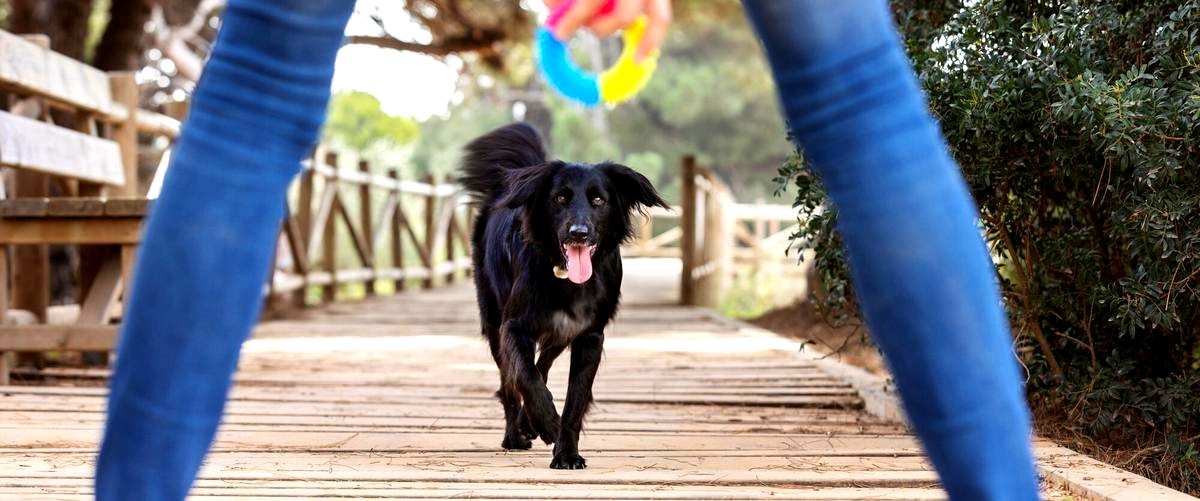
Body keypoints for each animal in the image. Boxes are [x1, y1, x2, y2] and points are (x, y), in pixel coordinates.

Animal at [458, 122, 672, 469]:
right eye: (559, 198)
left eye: (598, 200)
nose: (579, 234)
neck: (564, 277)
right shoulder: (513, 327)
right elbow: (527, 379)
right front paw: (547, 424)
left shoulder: (589, 335)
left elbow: (575, 398)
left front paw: (566, 452)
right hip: (493, 321)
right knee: (510, 380)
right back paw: (515, 434)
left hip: (560, 331)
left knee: (541, 363)